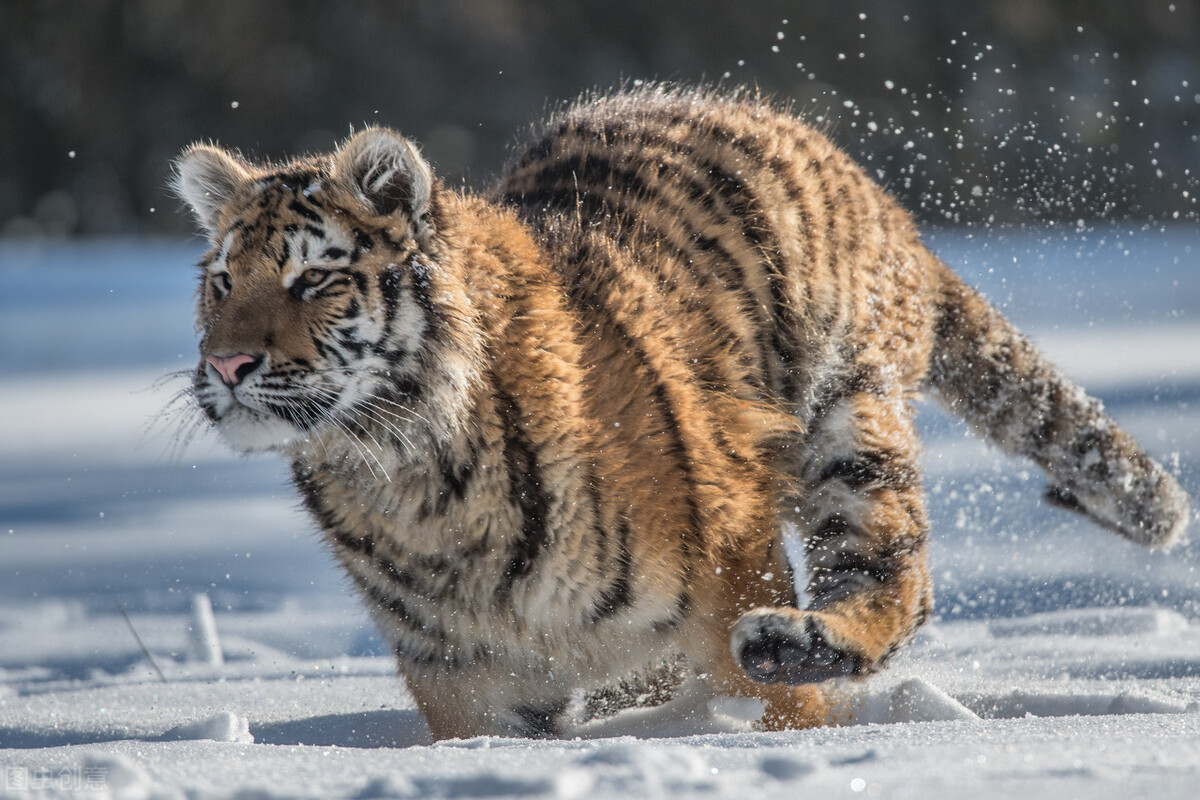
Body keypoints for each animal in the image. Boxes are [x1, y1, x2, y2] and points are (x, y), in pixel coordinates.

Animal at [171, 86, 1190, 738]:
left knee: (895, 581)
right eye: (222, 281)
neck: (410, 479)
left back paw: (802, 643)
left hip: (849, 423)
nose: (226, 363)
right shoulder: (464, 681)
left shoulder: (728, 568)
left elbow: (783, 718)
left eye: (313, 279)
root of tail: (867, 188)